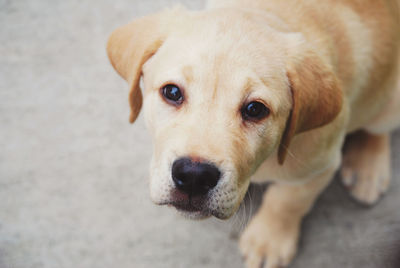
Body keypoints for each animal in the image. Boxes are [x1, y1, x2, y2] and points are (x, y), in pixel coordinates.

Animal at [106, 1, 400, 266]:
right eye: (172, 92)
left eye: (255, 109)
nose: (193, 176)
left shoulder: (319, 166)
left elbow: (288, 200)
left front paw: (269, 241)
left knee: (379, 128)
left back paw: (368, 167)